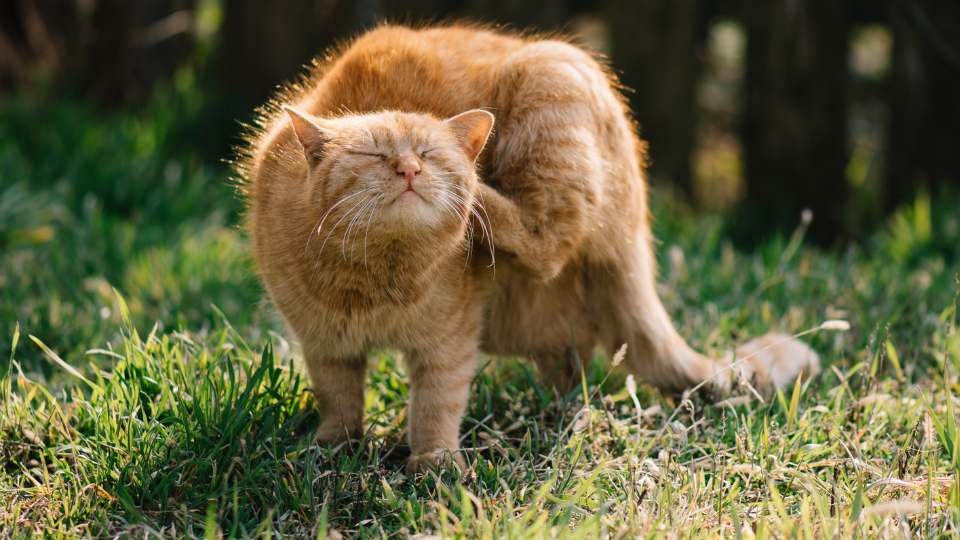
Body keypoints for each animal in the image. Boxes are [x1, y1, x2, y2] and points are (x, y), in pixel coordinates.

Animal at [238, 24, 816, 472]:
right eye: (372, 154)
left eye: (431, 153)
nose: (409, 169)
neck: (377, 280)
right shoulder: (325, 344)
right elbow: (338, 401)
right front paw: (331, 450)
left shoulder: (450, 343)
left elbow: (435, 405)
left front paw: (433, 465)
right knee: (570, 361)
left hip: (553, 81)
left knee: (546, 242)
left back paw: (481, 199)